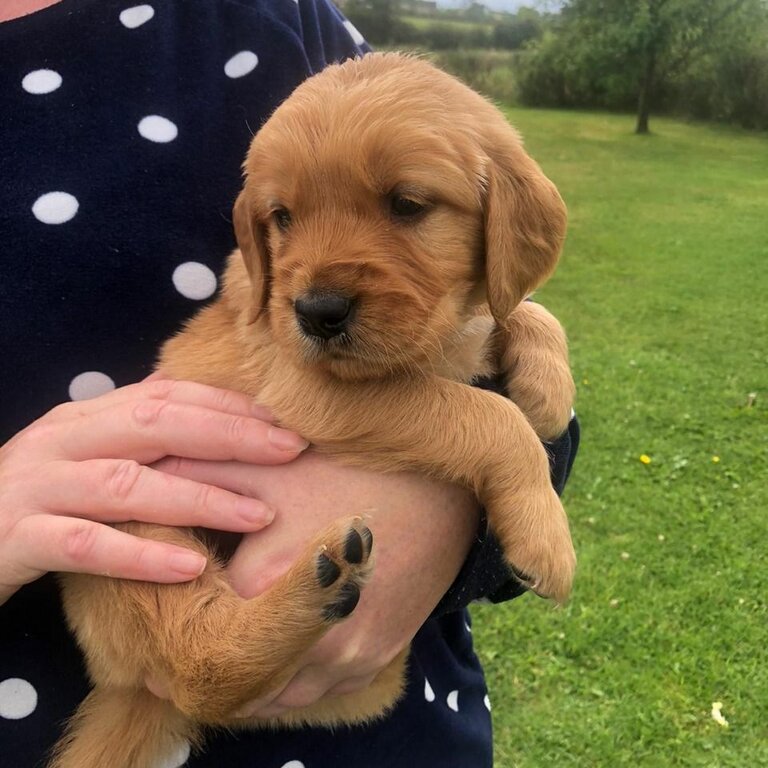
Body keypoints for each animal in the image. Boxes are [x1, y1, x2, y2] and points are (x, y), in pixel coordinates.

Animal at [49, 52, 576, 768]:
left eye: (407, 204)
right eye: (283, 216)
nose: (316, 313)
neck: (437, 338)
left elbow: (523, 310)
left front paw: (548, 385)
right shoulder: (311, 389)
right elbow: (488, 417)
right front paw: (545, 534)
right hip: (140, 538)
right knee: (199, 667)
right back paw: (315, 586)